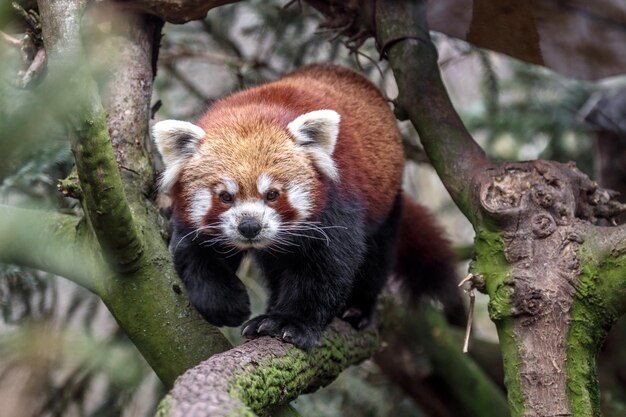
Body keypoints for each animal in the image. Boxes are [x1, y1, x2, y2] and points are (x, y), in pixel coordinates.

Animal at [151, 64, 454, 348]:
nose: (250, 227)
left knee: (377, 255)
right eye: (225, 196)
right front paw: (227, 305)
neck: (252, 111)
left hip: (386, 201)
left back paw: (357, 308)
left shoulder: (335, 203)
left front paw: (291, 322)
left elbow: (327, 267)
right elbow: (194, 256)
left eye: (272, 194)